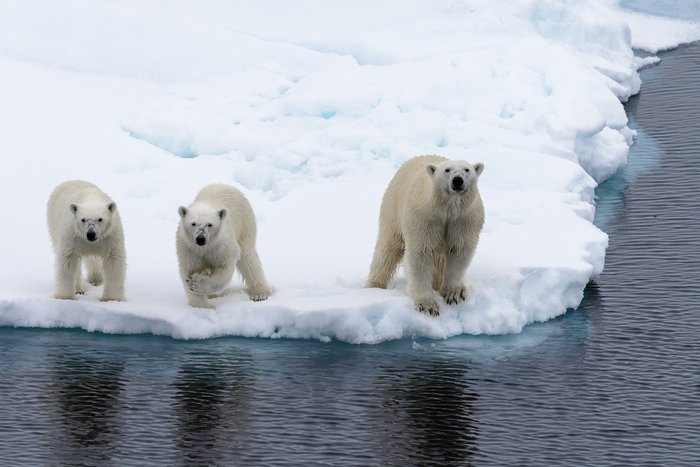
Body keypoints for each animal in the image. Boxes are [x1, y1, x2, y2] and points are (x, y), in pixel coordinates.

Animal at [366, 155, 485, 316]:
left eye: (467, 170)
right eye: (447, 170)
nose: (457, 180)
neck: (447, 210)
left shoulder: (463, 220)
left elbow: (459, 251)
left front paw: (454, 293)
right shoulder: (424, 218)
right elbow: (421, 253)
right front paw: (427, 305)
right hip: (393, 206)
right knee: (387, 249)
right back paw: (374, 286)